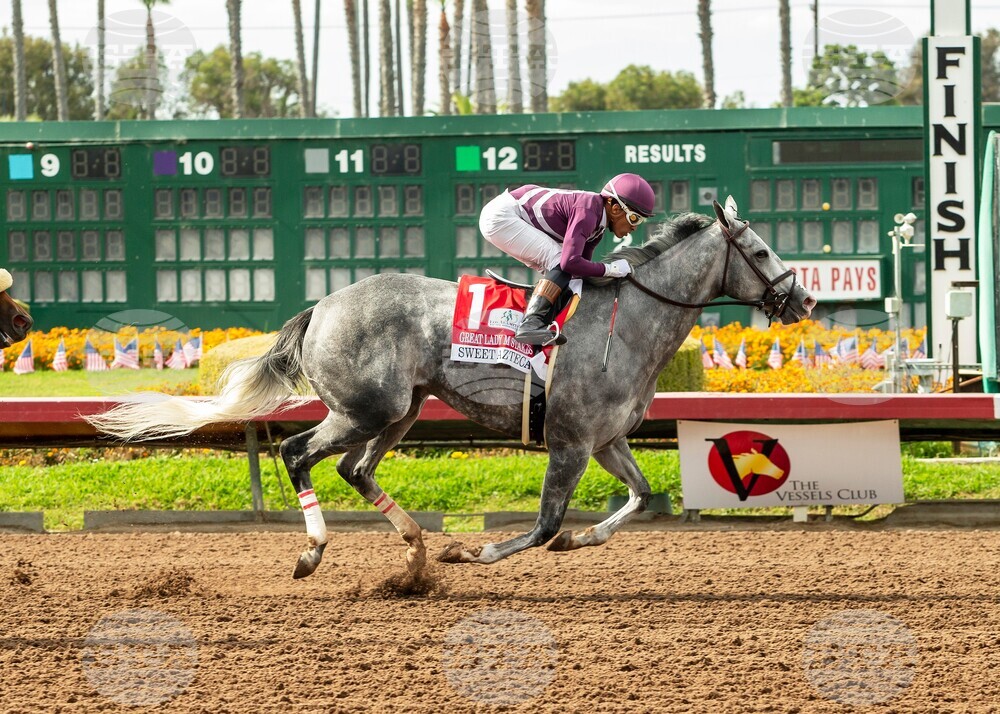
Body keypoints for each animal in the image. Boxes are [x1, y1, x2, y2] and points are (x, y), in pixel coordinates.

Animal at [88, 198, 816, 579]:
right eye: (759, 252)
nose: (803, 297)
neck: (627, 321)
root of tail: (321, 307)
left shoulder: (605, 441)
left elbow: (640, 497)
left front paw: (582, 541)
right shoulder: (570, 442)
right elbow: (545, 524)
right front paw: (476, 548)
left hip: (402, 410)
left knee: (355, 469)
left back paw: (413, 551)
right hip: (364, 408)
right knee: (297, 452)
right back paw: (314, 551)